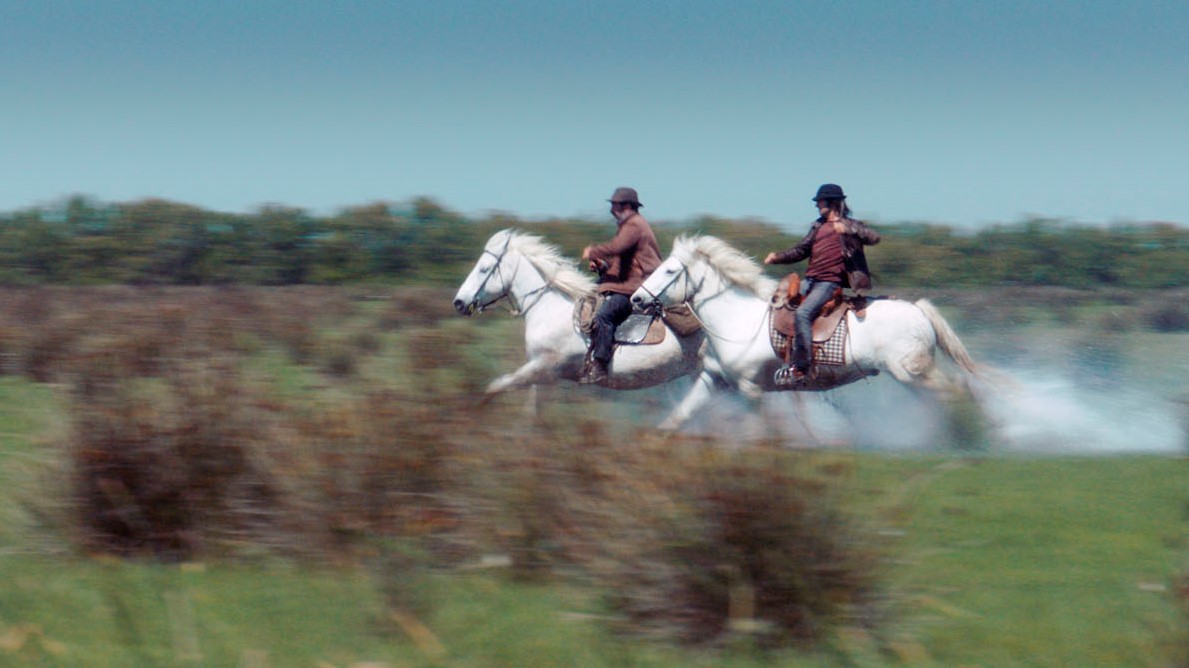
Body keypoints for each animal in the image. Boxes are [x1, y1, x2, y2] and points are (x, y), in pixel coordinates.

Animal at [451, 228, 708, 425]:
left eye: (484, 269)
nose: (459, 302)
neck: (549, 308)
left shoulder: (543, 366)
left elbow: (497, 385)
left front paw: (475, 411)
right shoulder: (544, 375)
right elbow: (532, 410)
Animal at [627, 234, 989, 437]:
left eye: (670, 270)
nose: (637, 300)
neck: (736, 320)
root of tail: (918, 310)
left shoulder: (750, 389)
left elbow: (760, 427)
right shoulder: (712, 379)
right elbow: (680, 415)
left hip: (911, 372)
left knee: (954, 392)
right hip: (911, 377)